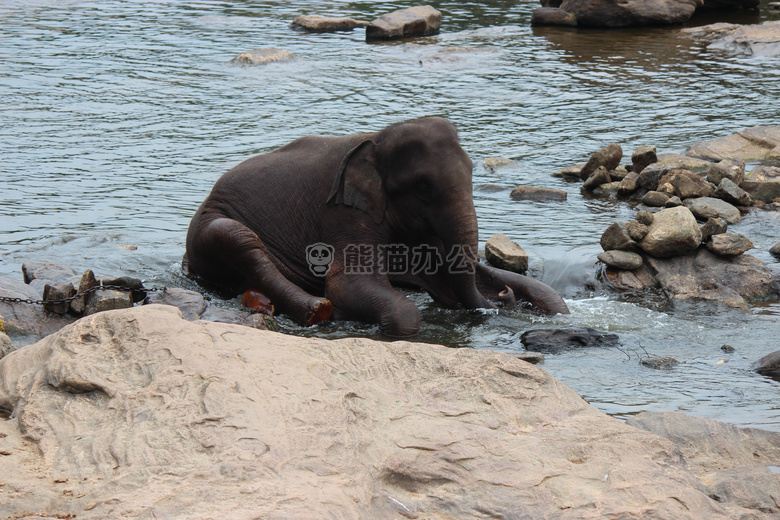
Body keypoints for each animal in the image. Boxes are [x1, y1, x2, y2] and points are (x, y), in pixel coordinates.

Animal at [186, 117, 568, 338]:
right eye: (422, 186)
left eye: (474, 171)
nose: (504, 297)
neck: (375, 139)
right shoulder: (344, 213)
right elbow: (350, 285)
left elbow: (445, 281)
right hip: (212, 228)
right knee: (238, 239)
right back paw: (319, 309)